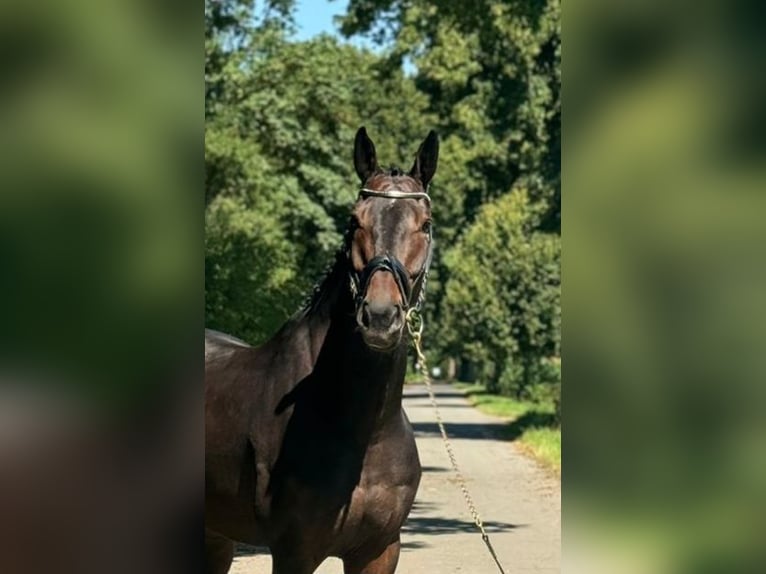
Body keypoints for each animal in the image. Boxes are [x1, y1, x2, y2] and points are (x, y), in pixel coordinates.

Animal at [207, 128, 440, 572]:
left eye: (426, 224)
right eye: (354, 220)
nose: (380, 316)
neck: (365, 431)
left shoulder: (380, 549)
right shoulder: (294, 552)